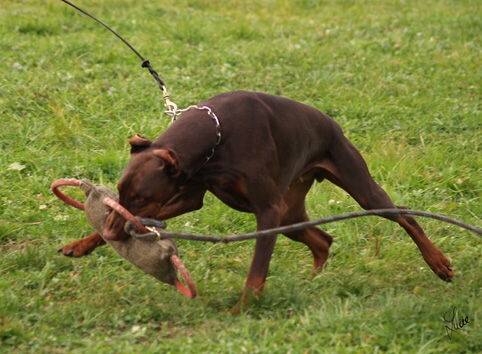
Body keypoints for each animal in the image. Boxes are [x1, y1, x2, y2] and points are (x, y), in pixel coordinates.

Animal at [59, 90, 452, 310]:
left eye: (140, 197)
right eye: (122, 192)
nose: (111, 232)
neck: (216, 133)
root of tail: (332, 125)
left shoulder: (267, 210)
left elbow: (256, 271)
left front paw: (243, 309)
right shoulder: (191, 193)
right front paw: (83, 243)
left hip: (354, 184)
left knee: (404, 215)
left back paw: (438, 262)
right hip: (290, 213)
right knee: (323, 239)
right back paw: (313, 281)